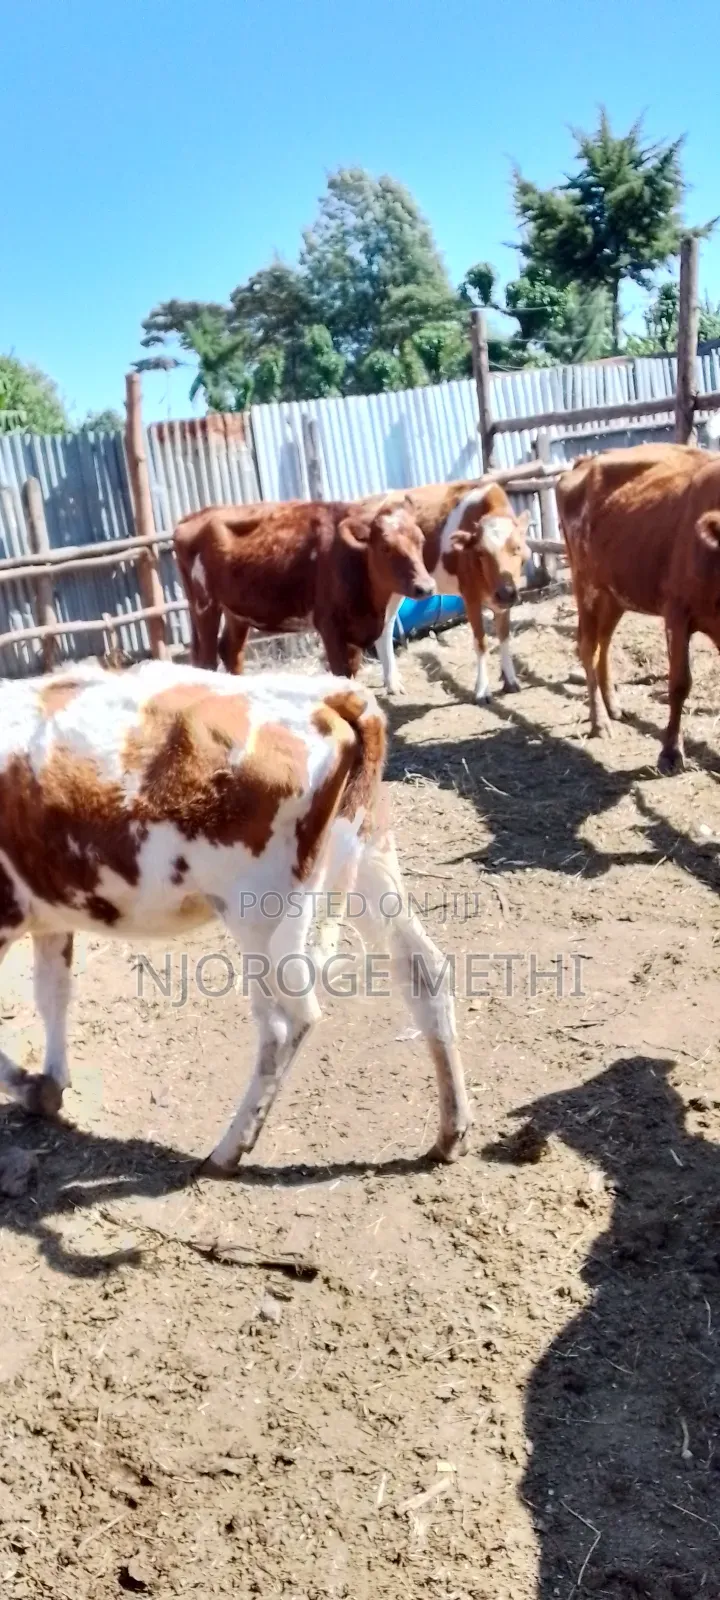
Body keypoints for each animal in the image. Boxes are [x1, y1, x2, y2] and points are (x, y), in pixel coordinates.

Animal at [0, 660, 471, 1172]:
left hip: (259, 910)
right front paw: (49, 1085)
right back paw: (451, 1133)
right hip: (368, 860)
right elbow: (53, 994)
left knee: (286, 1020)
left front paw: (32, 1087)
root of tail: (329, 694)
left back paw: (229, 1149)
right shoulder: (49, 914)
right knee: (424, 972)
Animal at [173, 497, 436, 680]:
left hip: (236, 611)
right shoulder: (330, 627)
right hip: (204, 606)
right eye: (385, 547)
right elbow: (341, 675)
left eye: (421, 540)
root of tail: (194, 516)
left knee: (230, 652)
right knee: (206, 661)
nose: (426, 587)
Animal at [373, 481, 532, 702]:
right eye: (480, 553)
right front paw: (483, 690)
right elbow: (481, 642)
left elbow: (504, 636)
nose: (506, 592)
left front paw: (510, 680)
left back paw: (392, 681)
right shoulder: (470, 594)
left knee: (387, 625)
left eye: (517, 547)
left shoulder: (503, 599)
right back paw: (392, 684)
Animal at [556, 442, 720, 773]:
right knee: (587, 646)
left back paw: (613, 707)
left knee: (603, 645)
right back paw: (600, 722)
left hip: (614, 594)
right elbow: (679, 683)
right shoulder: (676, 613)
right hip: (585, 584)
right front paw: (670, 753)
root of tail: (586, 461)